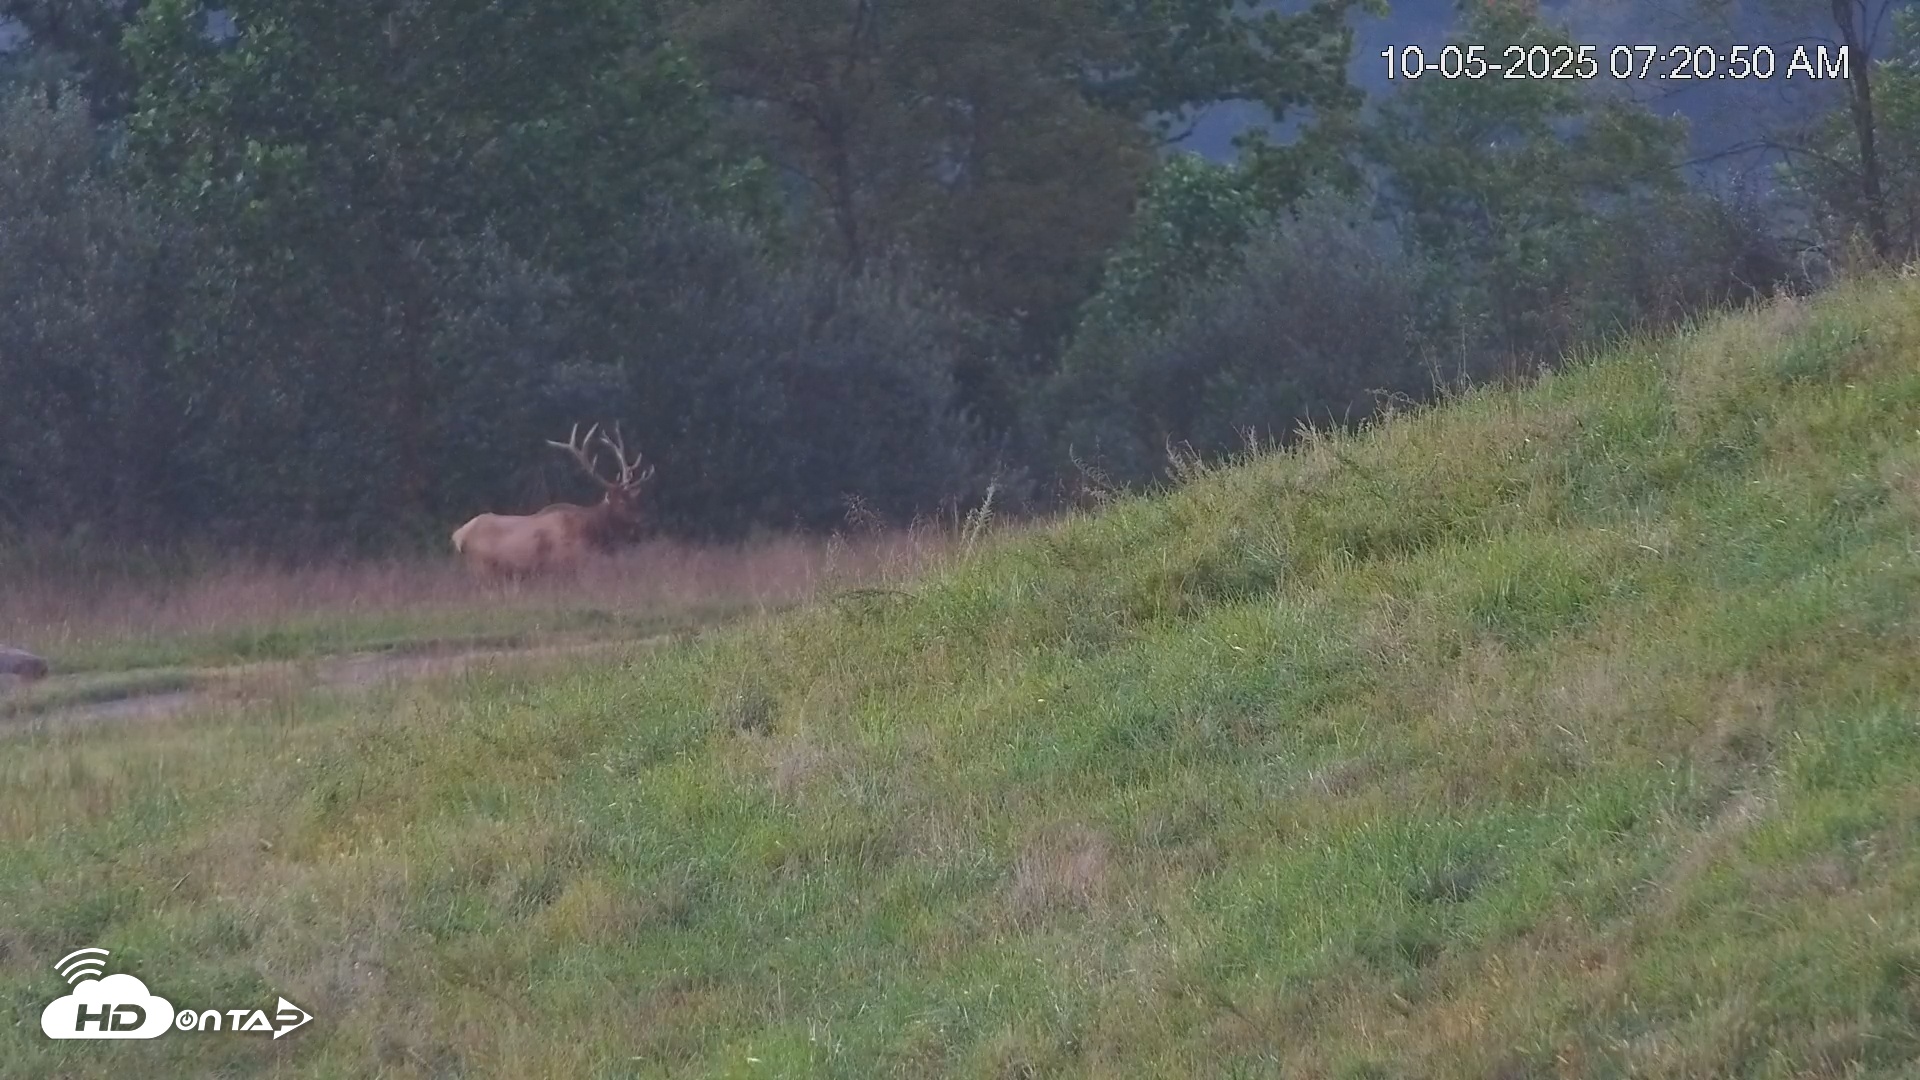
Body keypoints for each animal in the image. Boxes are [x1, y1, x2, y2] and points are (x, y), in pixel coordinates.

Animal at [451, 423, 655, 578]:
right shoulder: (573, 562)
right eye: (622, 502)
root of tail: (458, 536)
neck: (595, 531)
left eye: (636, 499)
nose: (645, 521)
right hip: (482, 570)